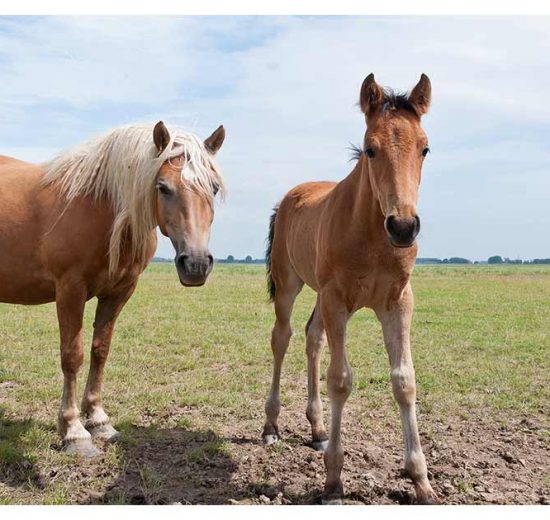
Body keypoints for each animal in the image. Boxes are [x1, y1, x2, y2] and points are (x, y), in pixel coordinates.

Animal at [0, 121, 226, 456]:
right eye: (163, 187)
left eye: (213, 188)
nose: (196, 264)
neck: (101, 207)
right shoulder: (70, 290)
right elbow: (73, 356)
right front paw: (73, 431)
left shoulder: (119, 292)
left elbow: (100, 351)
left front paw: (97, 420)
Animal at [264, 74, 440, 504]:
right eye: (370, 149)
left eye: (425, 148)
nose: (403, 227)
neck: (373, 237)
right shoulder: (337, 300)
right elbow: (341, 380)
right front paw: (333, 481)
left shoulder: (398, 302)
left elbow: (405, 381)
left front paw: (420, 479)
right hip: (290, 284)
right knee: (282, 337)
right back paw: (271, 426)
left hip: (320, 296)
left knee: (312, 338)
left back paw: (317, 430)